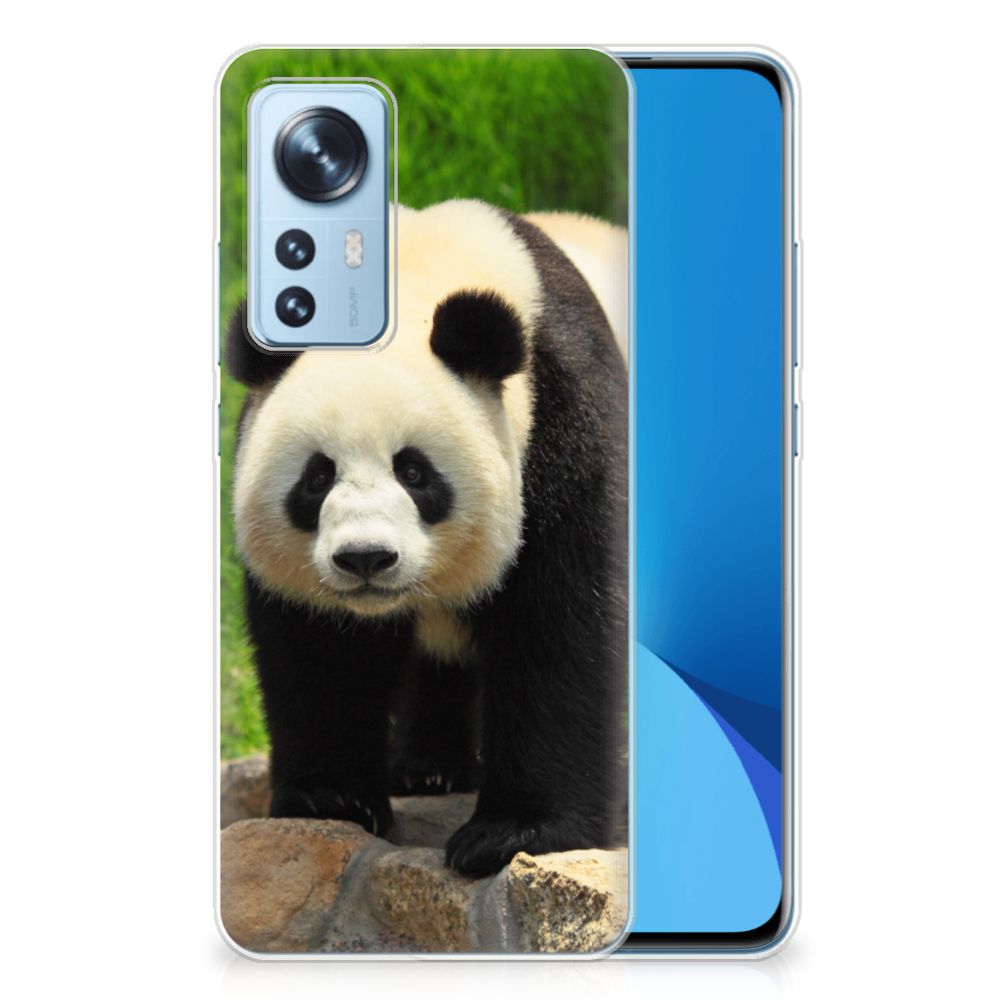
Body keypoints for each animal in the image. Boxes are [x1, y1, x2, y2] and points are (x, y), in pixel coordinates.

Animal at [226, 200, 627, 877]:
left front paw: (513, 832)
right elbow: (319, 650)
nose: (365, 558)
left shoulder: (566, 421)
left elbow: (560, 625)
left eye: (414, 472)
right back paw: (428, 769)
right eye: (317, 476)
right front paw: (332, 799)